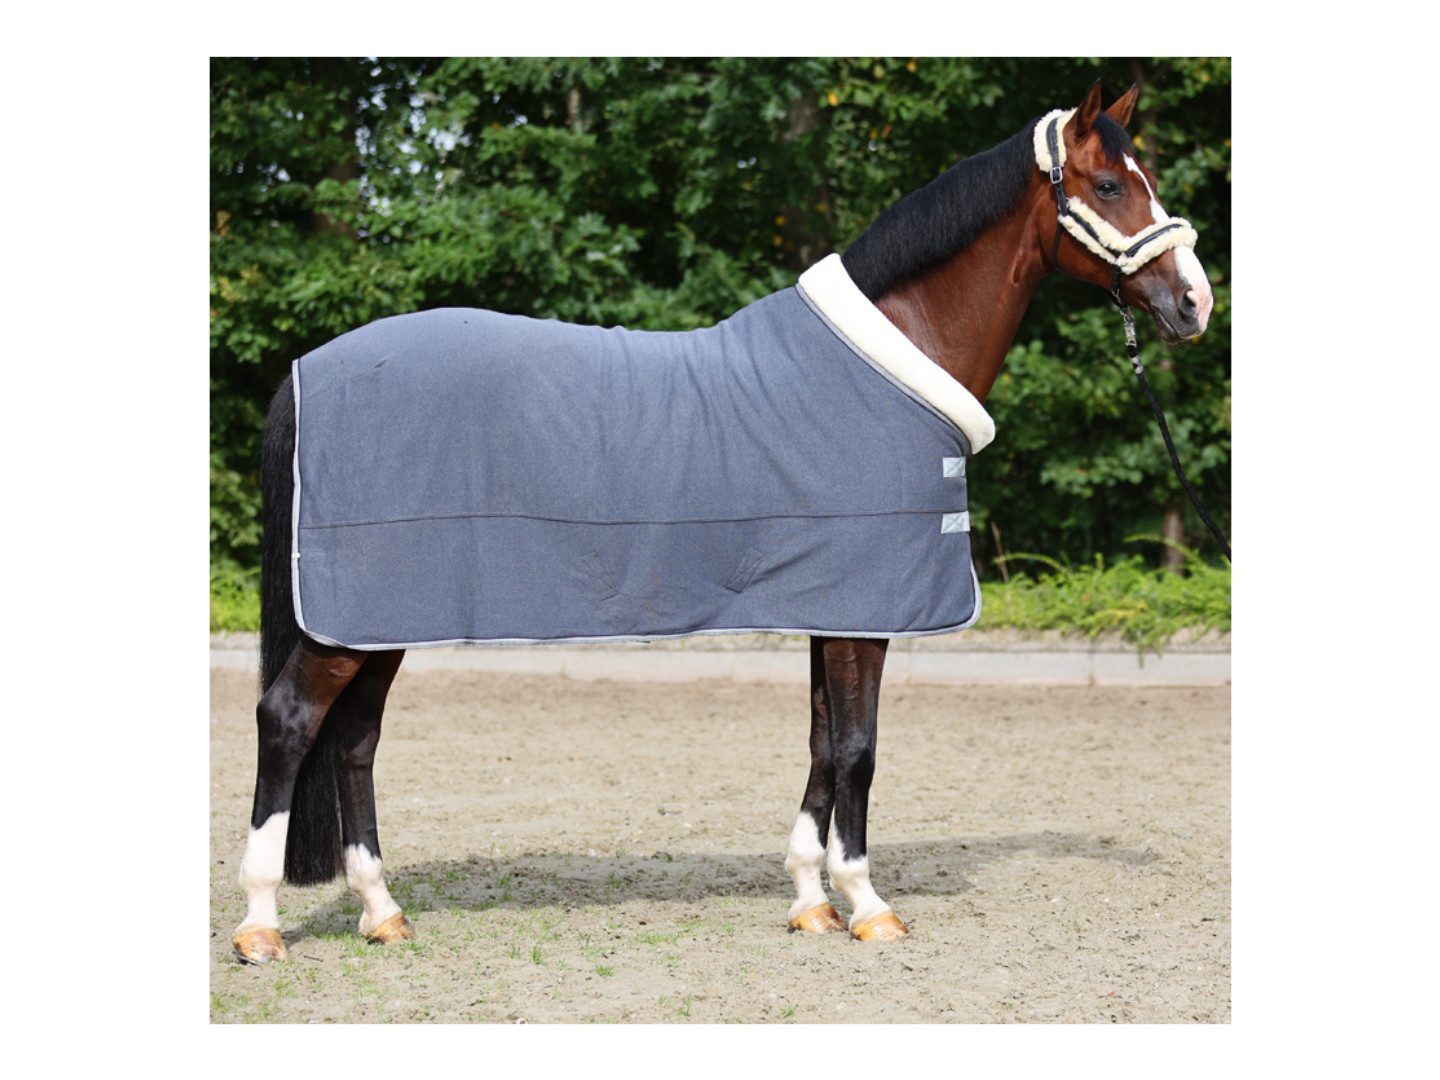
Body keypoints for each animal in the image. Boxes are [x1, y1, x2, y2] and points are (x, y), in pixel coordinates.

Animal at [230, 81, 1214, 964]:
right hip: (351, 620)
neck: (890, 360)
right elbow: (857, 750)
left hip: (377, 620)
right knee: (288, 720)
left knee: (355, 742)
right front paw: (867, 905)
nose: (1196, 303)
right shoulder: (865, 610)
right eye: (1111, 185)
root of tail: (307, 370)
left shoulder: (834, 604)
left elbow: (822, 743)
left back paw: (382, 911)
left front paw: (811, 902)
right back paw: (260, 925)